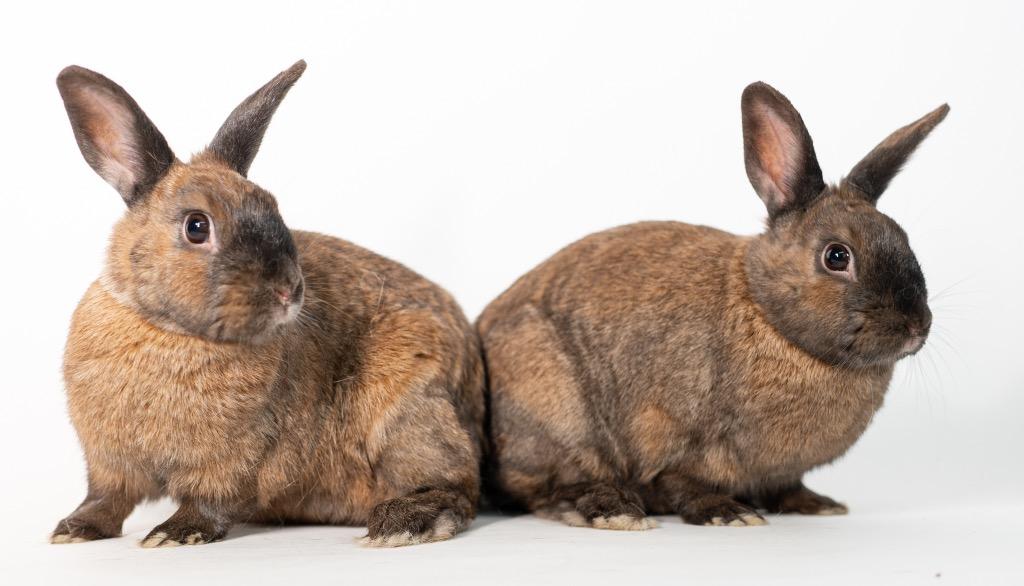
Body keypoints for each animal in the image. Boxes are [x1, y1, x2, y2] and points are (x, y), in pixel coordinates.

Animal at [49, 60, 485, 548]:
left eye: (275, 209)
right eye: (196, 226)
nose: (289, 291)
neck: (166, 329)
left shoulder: (234, 461)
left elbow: (210, 501)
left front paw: (174, 534)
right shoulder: (109, 464)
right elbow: (105, 499)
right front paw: (73, 530)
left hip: (409, 408)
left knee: (456, 486)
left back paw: (401, 524)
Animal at [477, 82, 947, 530]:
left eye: (904, 240)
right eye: (836, 256)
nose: (915, 327)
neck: (766, 312)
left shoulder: (780, 472)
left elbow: (787, 486)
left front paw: (817, 505)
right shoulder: (670, 435)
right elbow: (682, 482)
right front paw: (727, 513)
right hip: (557, 414)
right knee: (552, 487)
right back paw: (615, 512)